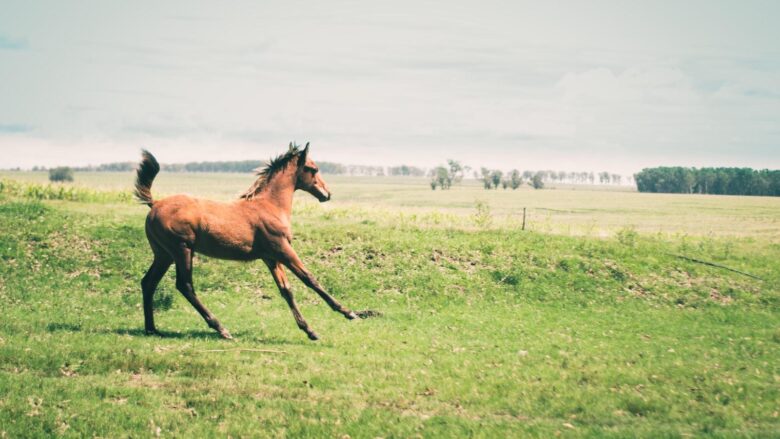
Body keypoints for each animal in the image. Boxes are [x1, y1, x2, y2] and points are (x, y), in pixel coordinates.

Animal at [136, 143, 358, 342]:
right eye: (313, 168)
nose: (327, 194)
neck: (270, 206)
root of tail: (154, 203)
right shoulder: (283, 249)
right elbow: (309, 279)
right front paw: (349, 313)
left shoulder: (271, 258)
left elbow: (286, 290)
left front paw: (309, 330)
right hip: (182, 250)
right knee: (185, 285)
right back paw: (222, 329)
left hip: (164, 254)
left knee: (148, 282)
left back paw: (152, 329)